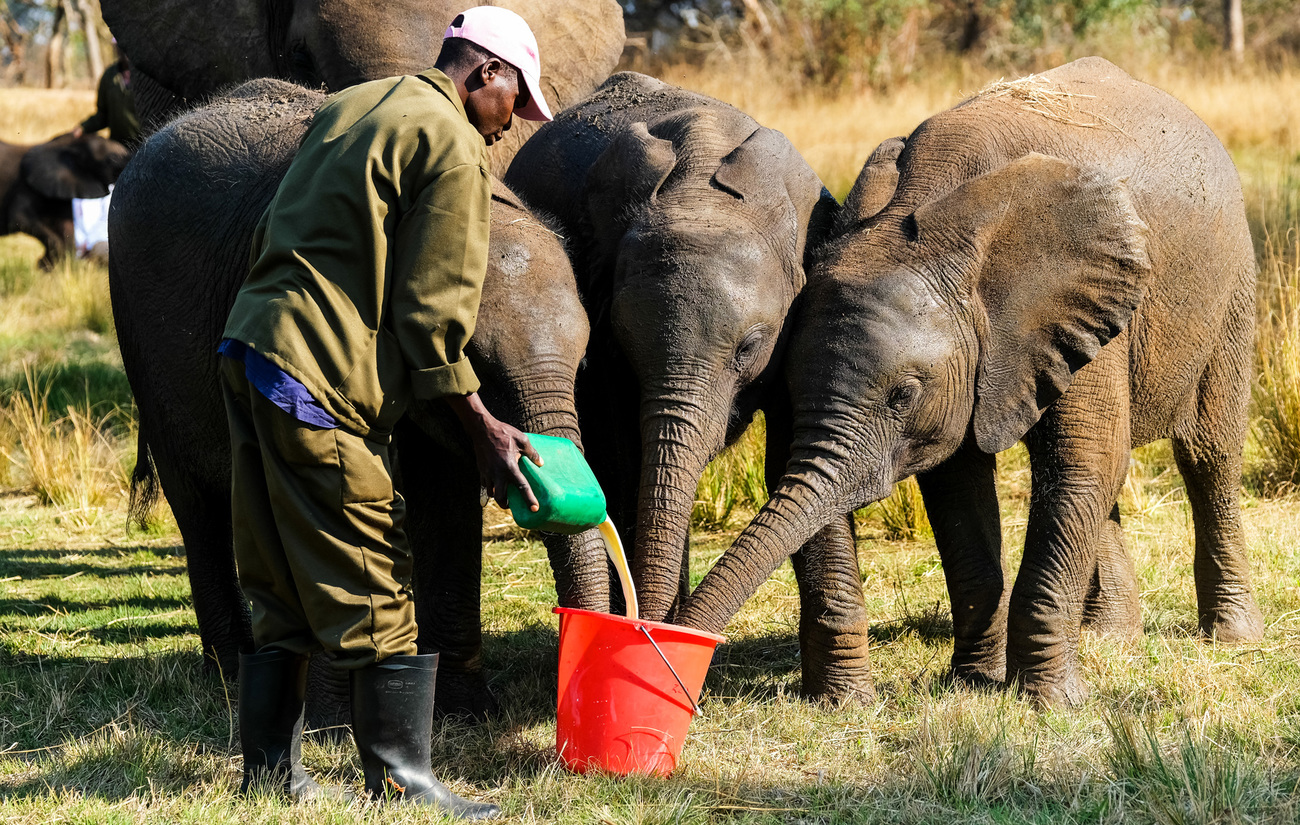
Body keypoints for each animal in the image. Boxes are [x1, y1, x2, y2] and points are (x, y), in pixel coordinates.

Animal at [501, 74, 868, 701]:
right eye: (621, 341)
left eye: (749, 347)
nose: (649, 633)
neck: (700, 185)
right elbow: (625, 456)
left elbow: (797, 455)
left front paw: (844, 701)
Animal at [676, 56, 1263, 711]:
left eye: (902, 396)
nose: (673, 648)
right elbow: (959, 487)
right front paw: (975, 683)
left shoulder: (1086, 305)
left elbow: (1081, 460)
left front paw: (1050, 704)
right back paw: (1112, 637)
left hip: (1232, 286)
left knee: (1207, 455)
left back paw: (1232, 636)